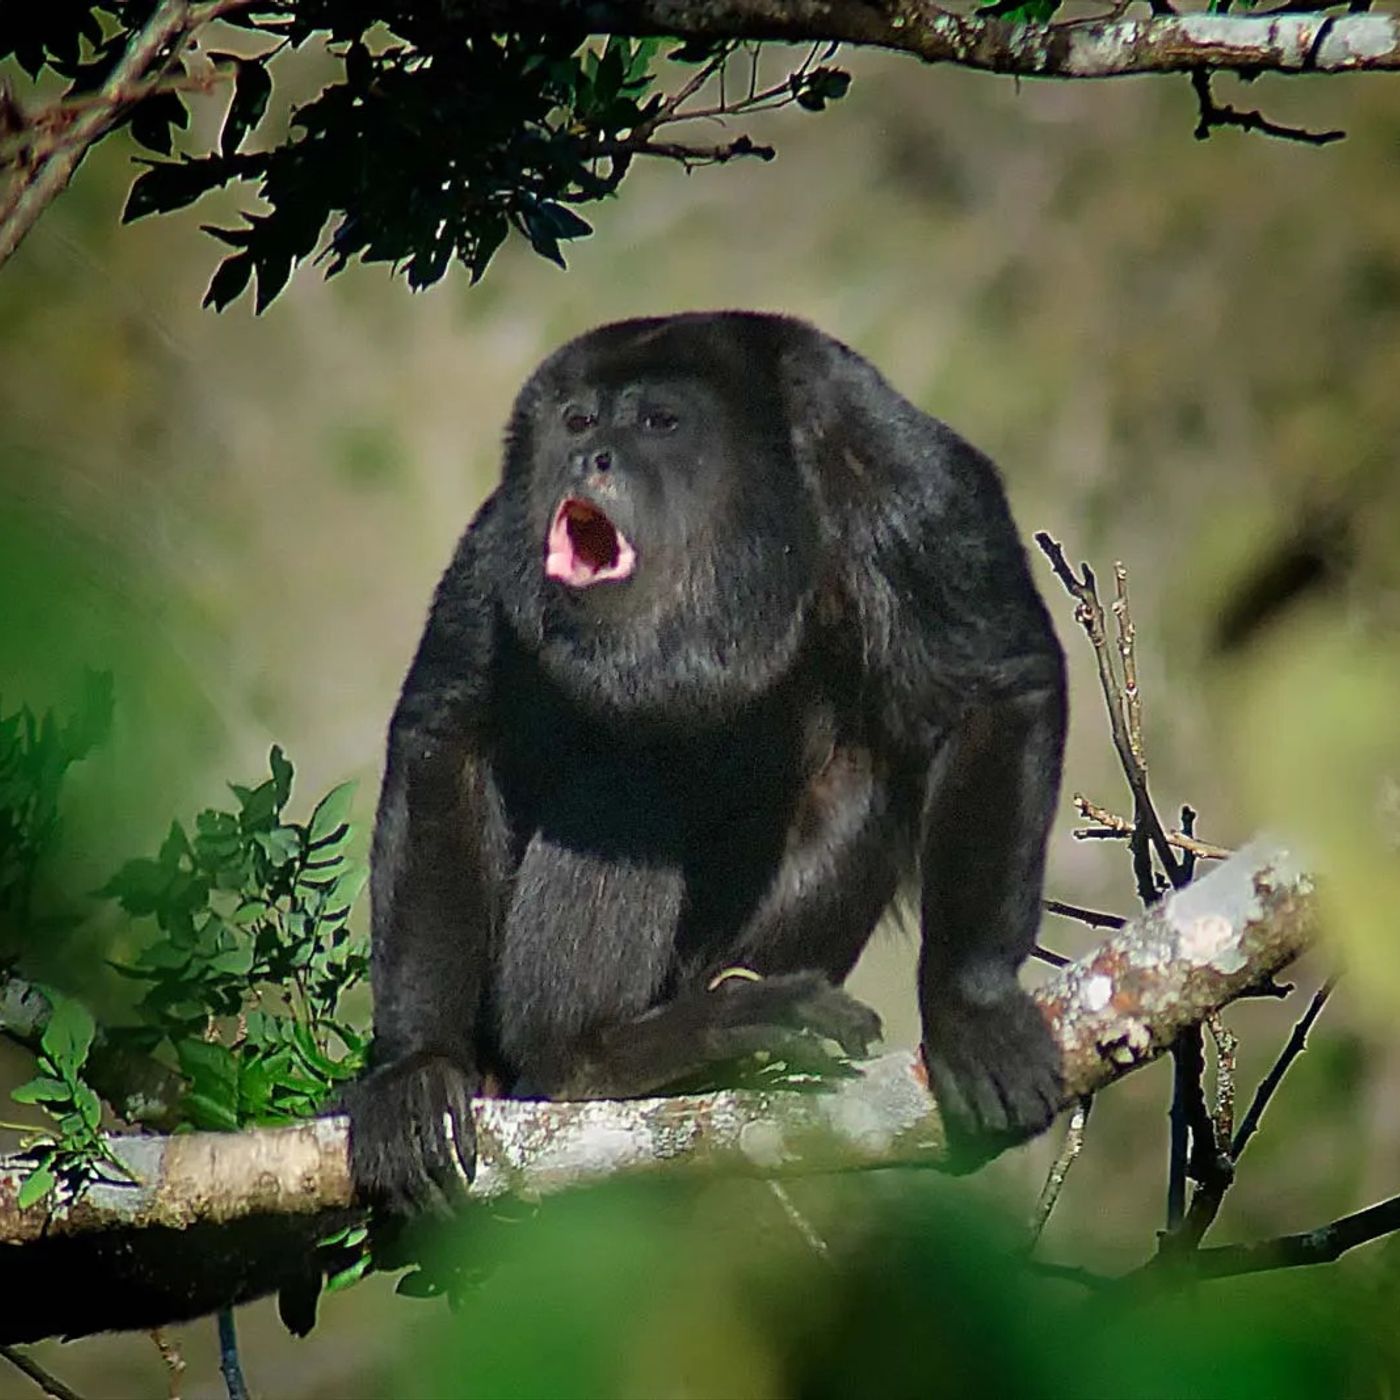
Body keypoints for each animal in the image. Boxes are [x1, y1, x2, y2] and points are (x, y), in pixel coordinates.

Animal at [346, 311, 1067, 1212]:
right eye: (577, 421)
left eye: (661, 421)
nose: (588, 457)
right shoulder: (501, 530)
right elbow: (449, 733)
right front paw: (414, 1067)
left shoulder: (907, 480)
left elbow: (995, 688)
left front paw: (973, 1009)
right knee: (626, 781)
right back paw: (593, 1055)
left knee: (864, 778)